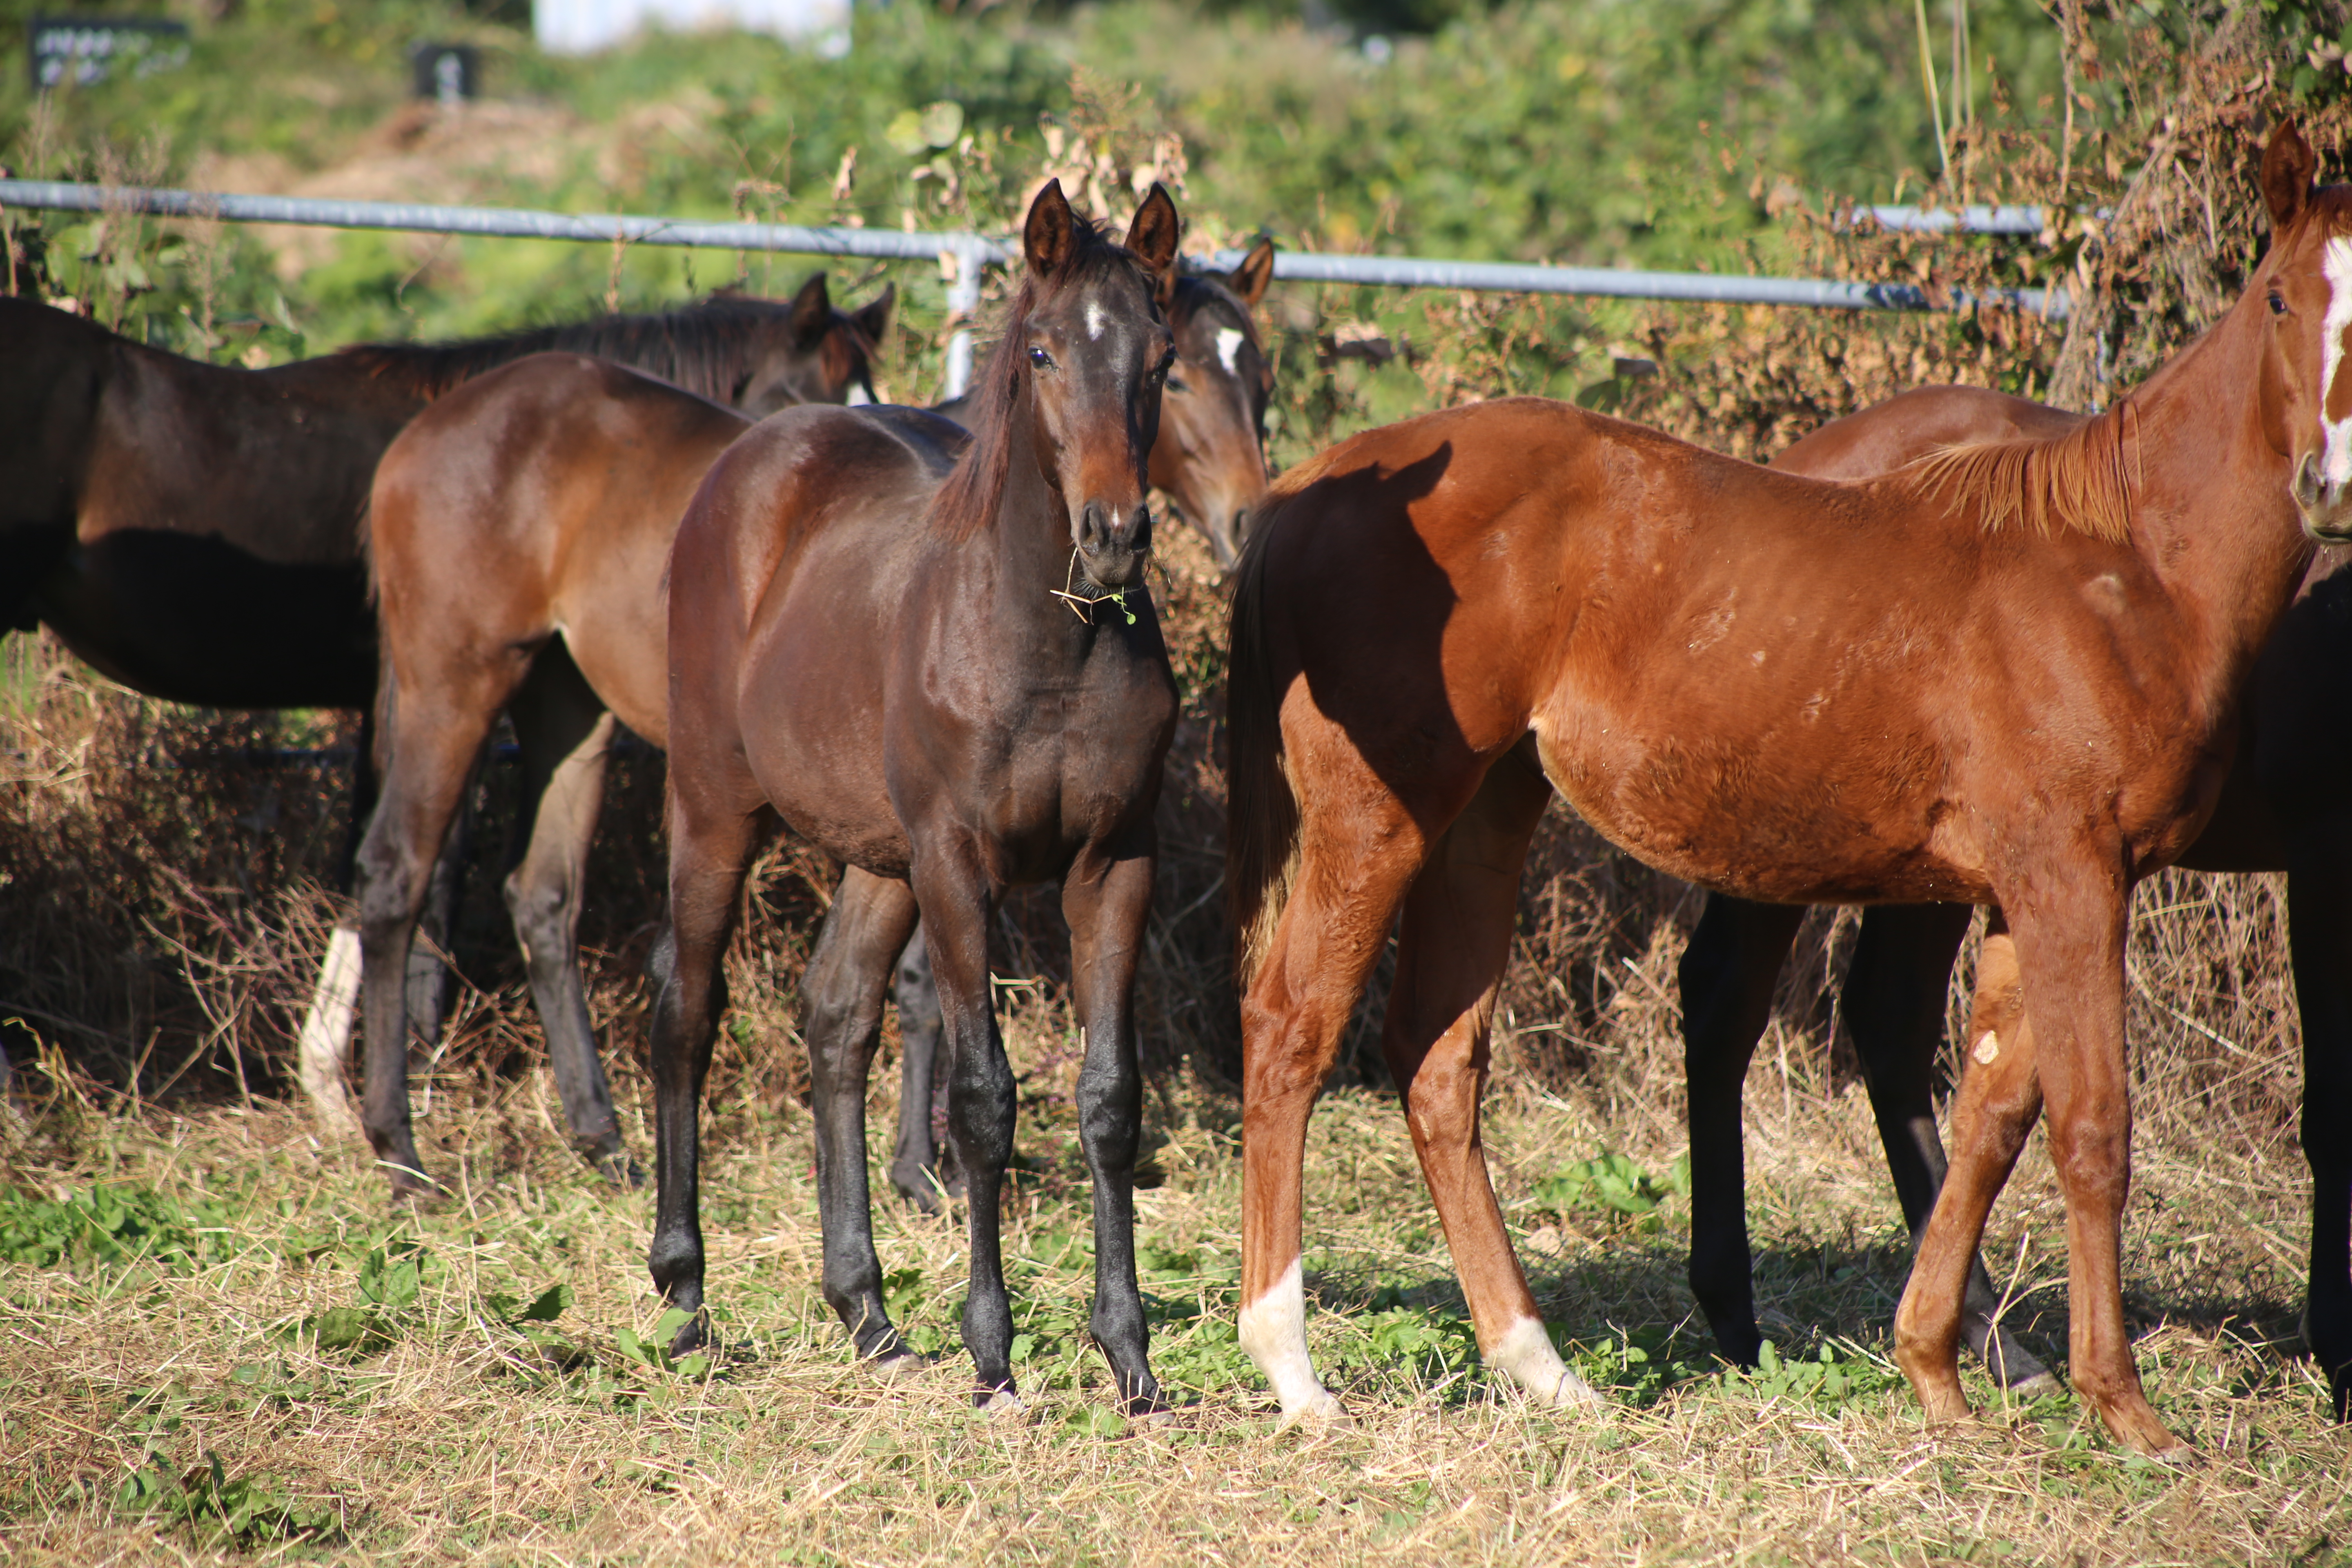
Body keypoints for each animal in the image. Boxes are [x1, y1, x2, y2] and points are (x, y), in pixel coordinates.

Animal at [353, 257, 1270, 1194]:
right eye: (1184, 376)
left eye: (1260, 381)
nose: (1247, 518)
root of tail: (422, 434)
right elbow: (922, 987)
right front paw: (924, 1170)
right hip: (455, 690)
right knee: (398, 881)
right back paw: (399, 1148)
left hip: (569, 712)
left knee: (540, 899)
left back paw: (602, 1138)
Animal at [644, 181, 1185, 1410]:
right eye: (1040, 351)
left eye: (1162, 359)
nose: (1113, 538)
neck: (1045, 642)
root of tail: (751, 457)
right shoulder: (957, 863)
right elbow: (984, 1100)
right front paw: (993, 1354)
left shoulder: (1115, 862)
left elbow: (1109, 1098)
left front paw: (1128, 1354)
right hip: (715, 808)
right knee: (685, 1008)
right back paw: (685, 1293)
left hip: (877, 856)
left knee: (837, 1016)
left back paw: (866, 1310)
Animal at [1675, 381, 2352, 1420]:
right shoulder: (2322, 849)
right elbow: (2330, 1117)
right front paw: (2339, 1357)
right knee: (1728, 1013)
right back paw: (1752, 1320)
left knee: (1887, 1026)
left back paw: (1975, 1336)